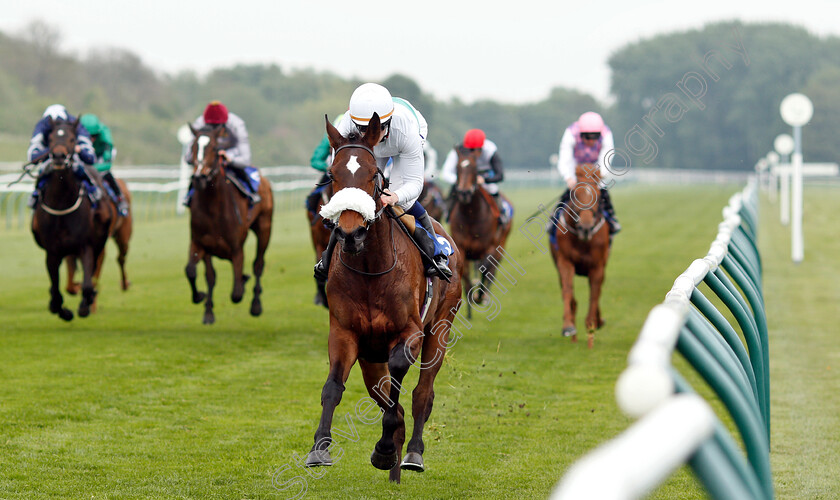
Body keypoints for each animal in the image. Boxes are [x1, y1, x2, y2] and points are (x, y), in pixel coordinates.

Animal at [31, 118, 114, 320]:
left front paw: (84, 305)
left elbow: (87, 284)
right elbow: (56, 290)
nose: (59, 156)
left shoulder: (86, 246)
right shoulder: (52, 252)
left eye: (72, 139)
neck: (62, 203)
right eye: (51, 138)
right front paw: (63, 311)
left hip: (97, 244)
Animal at [185, 124, 274, 324]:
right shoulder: (200, 243)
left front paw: (244, 281)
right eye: (193, 147)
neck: (212, 208)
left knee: (258, 264)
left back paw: (256, 304)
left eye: (214, 148)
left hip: (264, 227)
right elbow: (196, 272)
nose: (199, 178)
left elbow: (237, 293)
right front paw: (204, 305)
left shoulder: (236, 248)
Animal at [306, 113, 466, 484]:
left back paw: (411, 455)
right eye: (333, 175)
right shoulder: (345, 333)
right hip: (370, 357)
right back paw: (393, 466)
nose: (350, 234)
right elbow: (333, 386)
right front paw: (320, 448)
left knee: (422, 394)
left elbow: (400, 378)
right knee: (389, 396)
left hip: (441, 327)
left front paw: (384, 448)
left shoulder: (410, 332)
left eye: (372, 175)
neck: (370, 267)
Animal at [450, 146, 516, 316]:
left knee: (492, 270)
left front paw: (480, 296)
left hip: (501, 245)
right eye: (457, 168)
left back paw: (485, 296)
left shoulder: (489, 247)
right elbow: (466, 275)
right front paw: (469, 307)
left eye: (474, 169)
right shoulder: (462, 248)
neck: (471, 215)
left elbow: (486, 269)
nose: (464, 193)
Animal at [548, 164, 608, 348]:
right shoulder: (565, 262)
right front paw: (568, 326)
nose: (585, 229)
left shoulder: (597, 266)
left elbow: (594, 295)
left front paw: (591, 328)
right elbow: (568, 292)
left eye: (598, 195)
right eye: (575, 193)